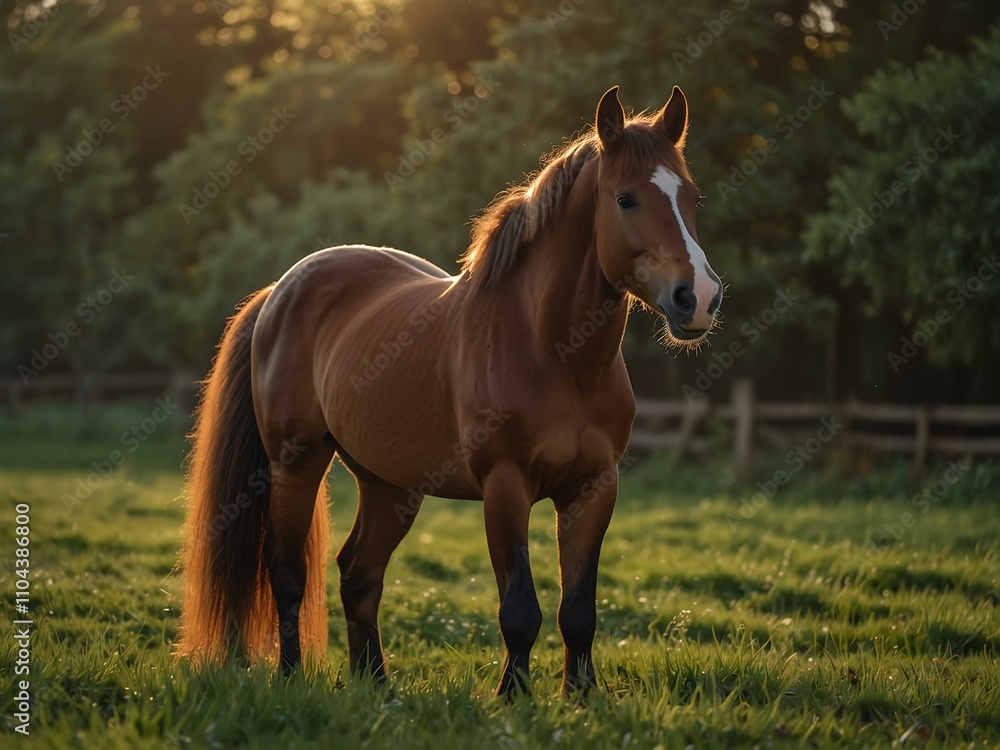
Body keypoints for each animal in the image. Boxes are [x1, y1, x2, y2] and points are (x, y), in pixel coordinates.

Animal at [175, 85, 723, 696]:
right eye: (626, 199)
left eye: (692, 196)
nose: (698, 298)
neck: (553, 354)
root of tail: (280, 290)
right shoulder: (506, 486)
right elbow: (520, 609)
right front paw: (515, 697)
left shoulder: (593, 489)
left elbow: (578, 611)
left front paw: (580, 697)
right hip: (296, 463)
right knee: (288, 574)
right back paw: (293, 677)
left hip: (389, 485)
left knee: (359, 574)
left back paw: (378, 686)